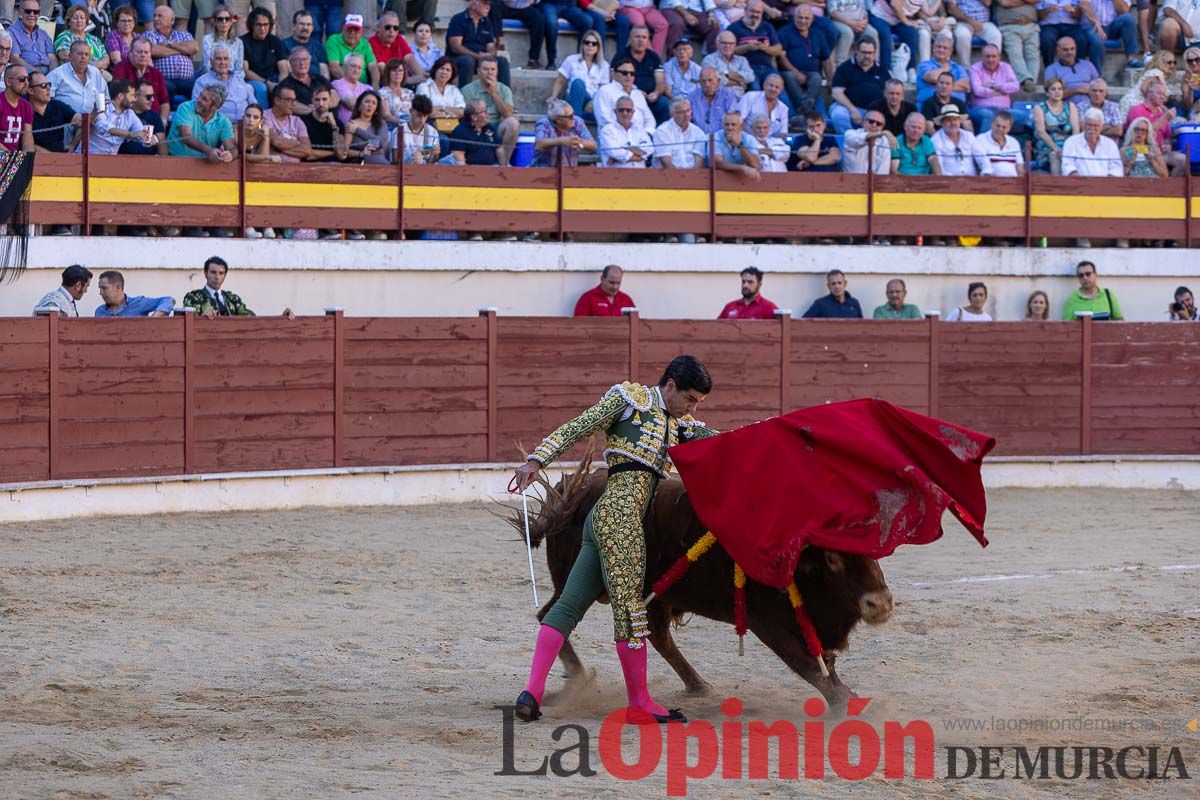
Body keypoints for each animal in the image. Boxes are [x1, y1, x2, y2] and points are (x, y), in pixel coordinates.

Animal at [511, 460, 897, 710]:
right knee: (554, 615)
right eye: (832, 558)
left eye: (873, 551)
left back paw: (698, 685)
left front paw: (847, 694)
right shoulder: (766, 621)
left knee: (657, 636)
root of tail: (570, 492)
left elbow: (824, 662)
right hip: (579, 581)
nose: (880, 604)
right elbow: (806, 664)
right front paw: (841, 703)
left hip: (652, 595)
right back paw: (578, 679)